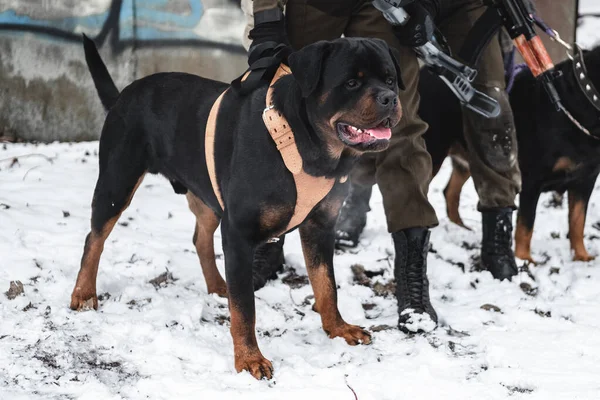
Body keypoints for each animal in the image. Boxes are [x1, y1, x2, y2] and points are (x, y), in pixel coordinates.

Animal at [72, 36, 406, 380]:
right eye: (351, 82)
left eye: (390, 79)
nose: (389, 98)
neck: (306, 145)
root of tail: (124, 94)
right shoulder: (239, 234)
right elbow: (245, 308)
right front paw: (249, 358)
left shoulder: (321, 227)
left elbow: (326, 285)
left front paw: (337, 328)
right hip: (118, 181)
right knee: (94, 237)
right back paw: (83, 293)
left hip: (206, 194)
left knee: (201, 238)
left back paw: (219, 285)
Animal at [420, 46, 600, 262]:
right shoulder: (532, 179)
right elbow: (526, 224)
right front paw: (524, 259)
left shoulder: (585, 179)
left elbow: (577, 220)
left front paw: (581, 255)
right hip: (433, 149)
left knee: (451, 191)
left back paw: (464, 230)